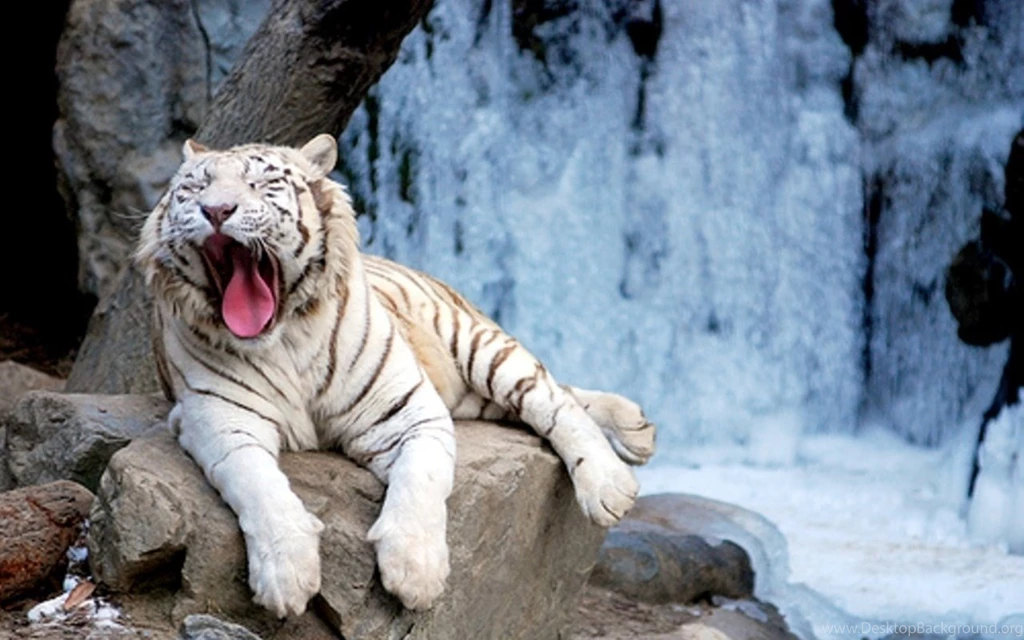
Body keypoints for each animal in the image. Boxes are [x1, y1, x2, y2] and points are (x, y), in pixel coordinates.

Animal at [135, 134, 656, 618]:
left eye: (260, 184)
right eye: (195, 188)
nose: (216, 210)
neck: (283, 338)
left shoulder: (408, 410)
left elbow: (421, 479)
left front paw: (415, 572)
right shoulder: (219, 420)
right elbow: (258, 485)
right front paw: (287, 576)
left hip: (477, 345)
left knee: (552, 398)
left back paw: (612, 479)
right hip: (471, 396)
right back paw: (637, 426)